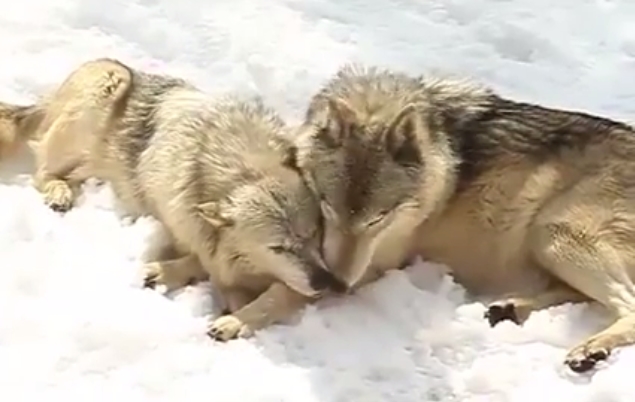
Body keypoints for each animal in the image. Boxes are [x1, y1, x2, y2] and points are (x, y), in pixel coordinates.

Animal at [0, 59, 346, 342]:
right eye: (278, 248)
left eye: (314, 234)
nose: (328, 282)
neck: (244, 168)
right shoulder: (185, 224)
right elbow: (207, 261)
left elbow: (270, 292)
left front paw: (235, 319)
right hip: (108, 85)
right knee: (42, 172)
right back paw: (58, 193)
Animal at [294, 62, 635, 374]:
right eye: (327, 207)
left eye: (378, 218)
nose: (338, 285)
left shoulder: (377, 262)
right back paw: (510, 308)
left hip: (553, 234)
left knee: (629, 304)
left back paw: (590, 350)